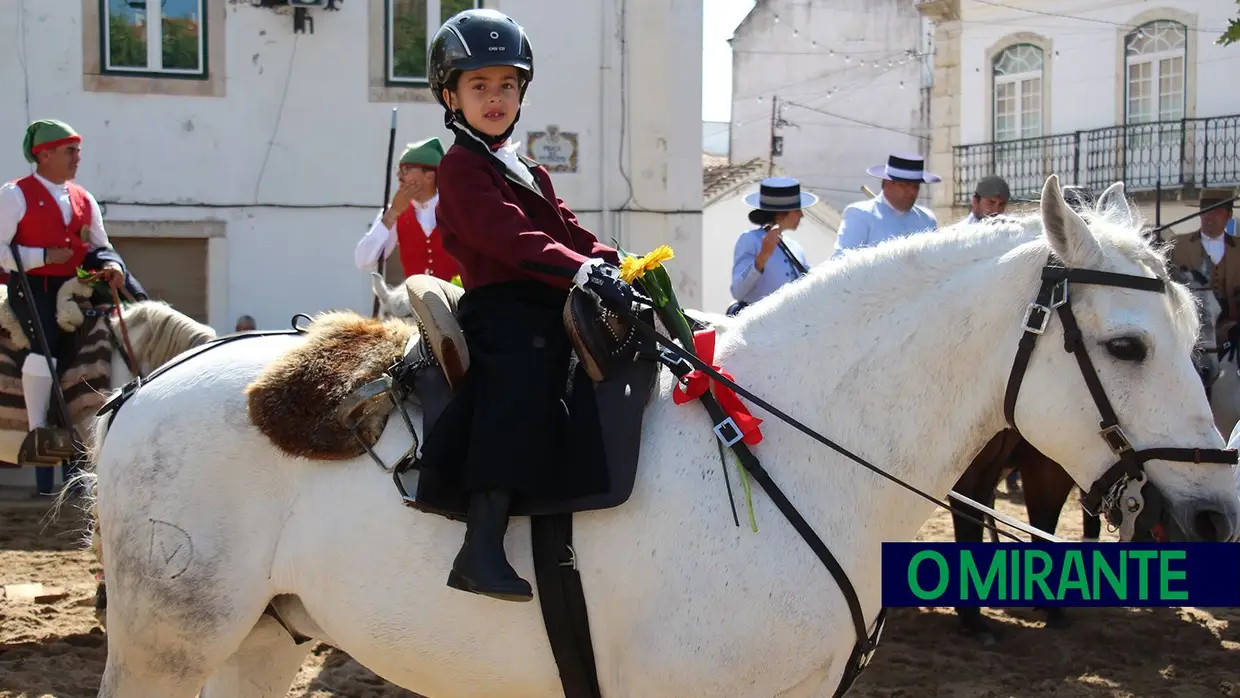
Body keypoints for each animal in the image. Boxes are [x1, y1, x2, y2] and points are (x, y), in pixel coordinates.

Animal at [79, 177, 1240, 694]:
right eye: (1128, 345)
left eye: (1195, 336)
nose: (1212, 515)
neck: (789, 450)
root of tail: (152, 389)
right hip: (170, 649)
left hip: (257, 644)